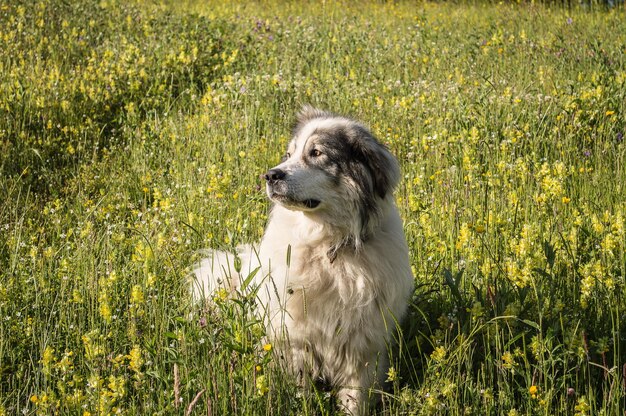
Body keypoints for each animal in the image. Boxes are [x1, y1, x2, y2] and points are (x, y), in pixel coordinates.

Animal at [193, 105, 412, 414]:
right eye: (289, 154)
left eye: (316, 153)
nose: (270, 175)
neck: (328, 246)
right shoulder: (296, 338)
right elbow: (301, 387)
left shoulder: (362, 345)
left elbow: (355, 395)